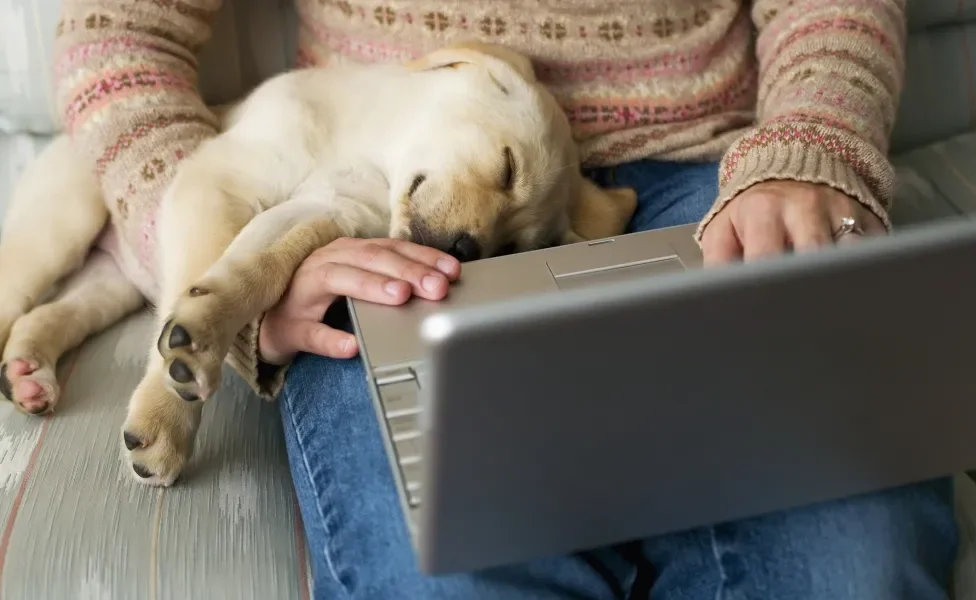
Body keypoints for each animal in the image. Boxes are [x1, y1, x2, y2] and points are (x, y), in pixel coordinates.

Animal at [0, 41, 632, 482]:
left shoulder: (324, 210)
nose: (463, 252)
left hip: (108, 283)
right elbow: (195, 286)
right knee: (17, 298)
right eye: (507, 168)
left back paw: (29, 373)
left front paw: (207, 324)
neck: (371, 150)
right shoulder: (218, 183)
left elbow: (257, 268)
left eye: (510, 248)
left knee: (49, 315)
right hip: (59, 225)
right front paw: (168, 408)